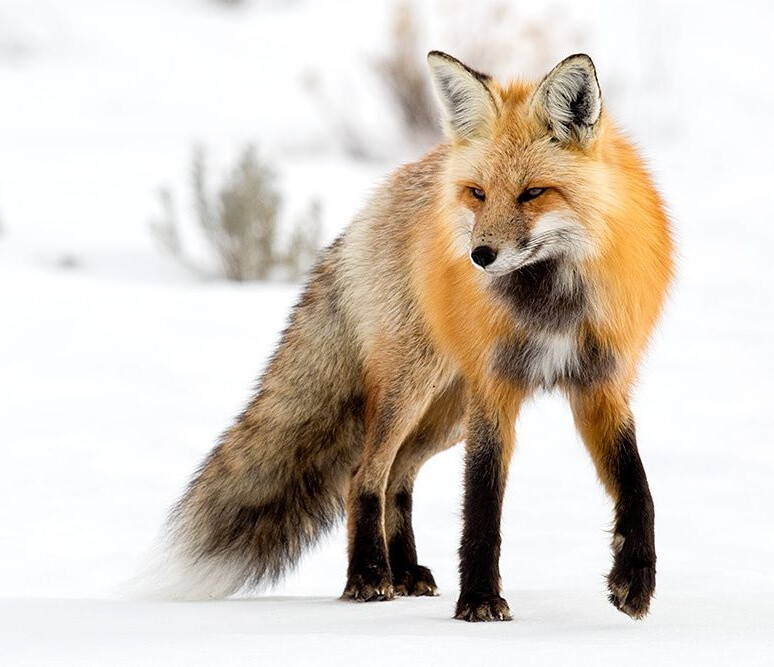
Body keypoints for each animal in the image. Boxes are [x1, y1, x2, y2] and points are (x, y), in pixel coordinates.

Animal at [147, 51, 673, 622]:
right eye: (478, 193)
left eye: (533, 193)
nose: (480, 256)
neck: (552, 305)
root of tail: (380, 196)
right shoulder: (494, 389)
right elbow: (482, 506)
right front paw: (480, 600)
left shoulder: (601, 385)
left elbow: (638, 488)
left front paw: (635, 580)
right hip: (413, 386)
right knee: (364, 475)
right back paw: (369, 576)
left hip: (447, 413)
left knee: (398, 475)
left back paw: (402, 571)